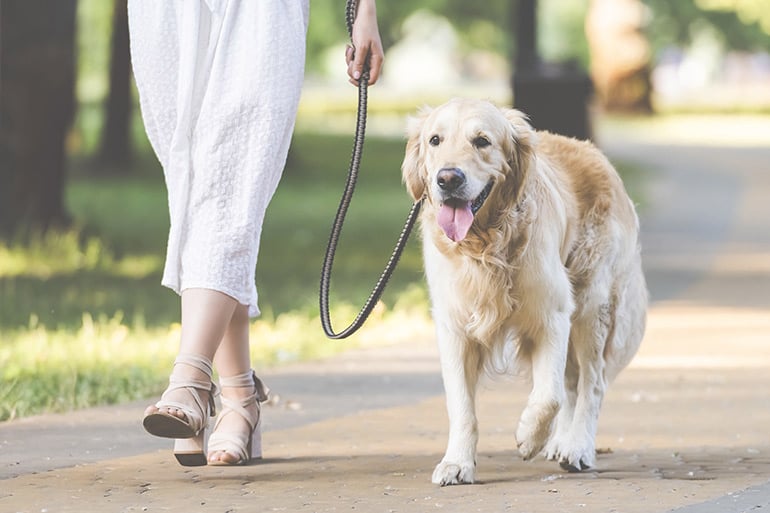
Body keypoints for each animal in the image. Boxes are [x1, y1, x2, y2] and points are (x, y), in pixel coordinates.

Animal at [402, 99, 648, 484]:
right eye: (435, 140)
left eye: (482, 141)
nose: (448, 178)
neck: (486, 247)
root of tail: (596, 154)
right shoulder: (454, 327)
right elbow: (462, 407)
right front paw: (457, 463)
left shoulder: (553, 315)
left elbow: (549, 396)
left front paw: (529, 437)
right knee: (573, 382)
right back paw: (560, 443)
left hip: (592, 306)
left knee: (591, 383)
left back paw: (577, 447)